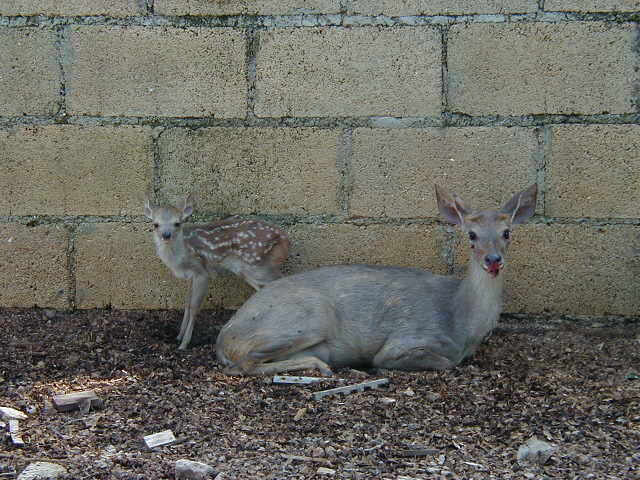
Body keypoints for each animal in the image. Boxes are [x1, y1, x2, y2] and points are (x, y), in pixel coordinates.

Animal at [145, 194, 290, 348]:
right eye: (155, 224)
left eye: (177, 223)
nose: (166, 235)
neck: (180, 256)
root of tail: (286, 239)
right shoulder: (190, 275)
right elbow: (187, 303)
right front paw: (179, 336)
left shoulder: (201, 272)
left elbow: (194, 307)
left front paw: (184, 344)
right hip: (247, 270)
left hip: (258, 266)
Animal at [218, 184, 536, 376]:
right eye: (471, 235)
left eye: (507, 232)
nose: (493, 260)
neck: (462, 324)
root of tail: (223, 338)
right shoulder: (405, 340)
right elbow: (444, 363)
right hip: (309, 317)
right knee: (245, 360)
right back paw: (322, 366)